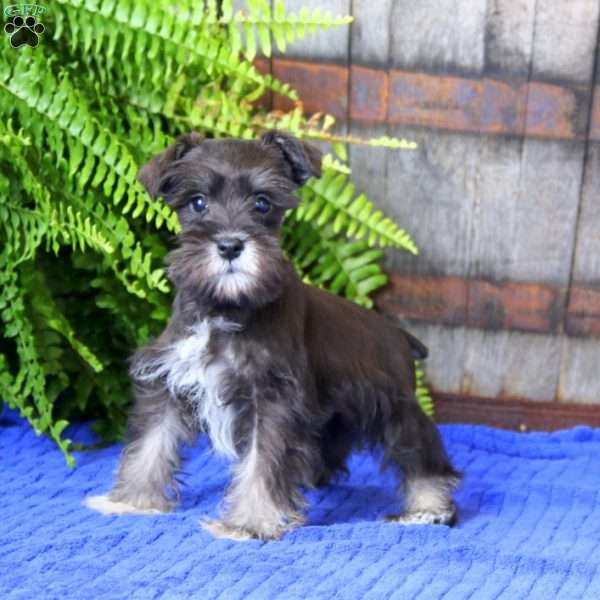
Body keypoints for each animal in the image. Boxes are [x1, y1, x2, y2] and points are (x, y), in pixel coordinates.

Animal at [86, 130, 460, 540]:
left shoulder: (272, 399)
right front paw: (132, 499)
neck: (225, 307)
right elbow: (151, 443)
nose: (230, 245)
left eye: (262, 203)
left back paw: (428, 506)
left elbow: (263, 462)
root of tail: (400, 337)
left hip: (394, 406)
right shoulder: (169, 380)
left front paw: (251, 522)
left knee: (420, 451)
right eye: (197, 202)